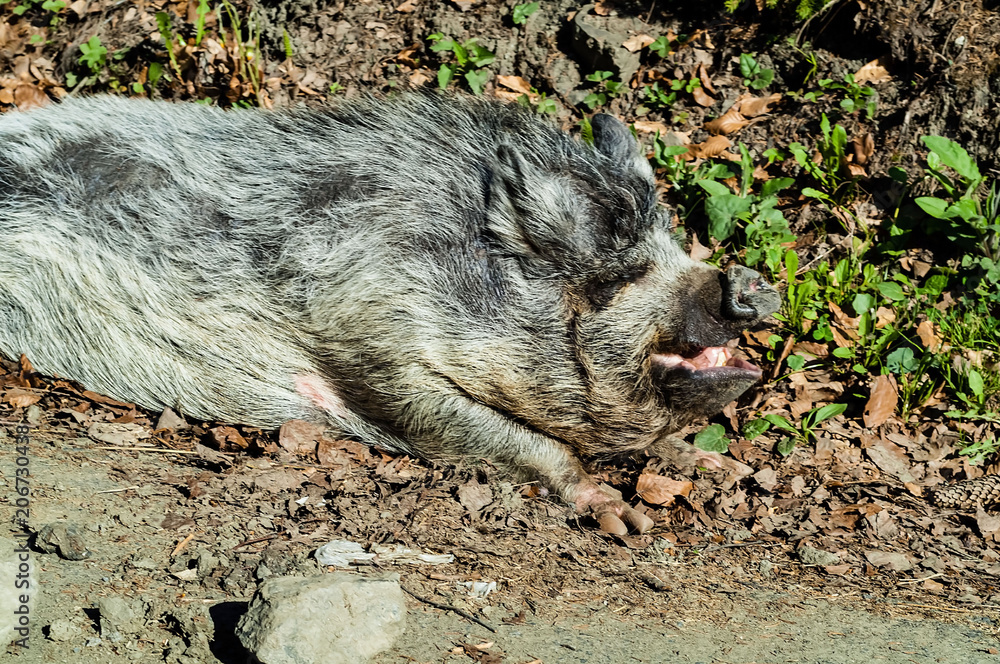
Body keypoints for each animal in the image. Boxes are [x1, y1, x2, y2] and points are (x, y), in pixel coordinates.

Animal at [0, 94, 780, 534]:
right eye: (615, 278)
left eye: (675, 244)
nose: (745, 286)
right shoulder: (375, 352)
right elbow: (506, 440)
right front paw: (625, 520)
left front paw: (718, 467)